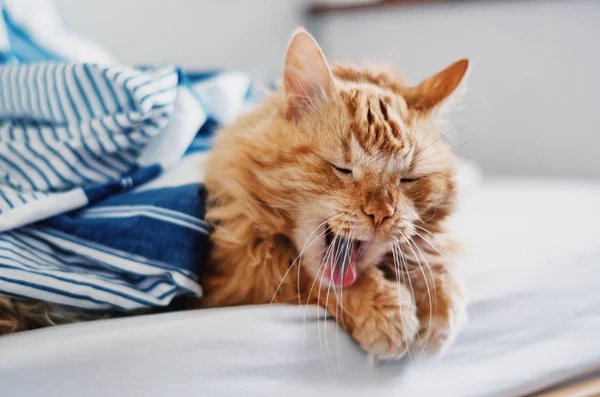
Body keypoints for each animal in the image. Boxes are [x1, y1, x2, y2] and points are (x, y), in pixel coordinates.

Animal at [202, 29, 468, 358]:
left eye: (407, 179)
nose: (381, 213)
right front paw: (387, 313)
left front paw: (438, 305)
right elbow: (302, 276)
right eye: (342, 168)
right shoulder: (238, 272)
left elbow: (431, 259)